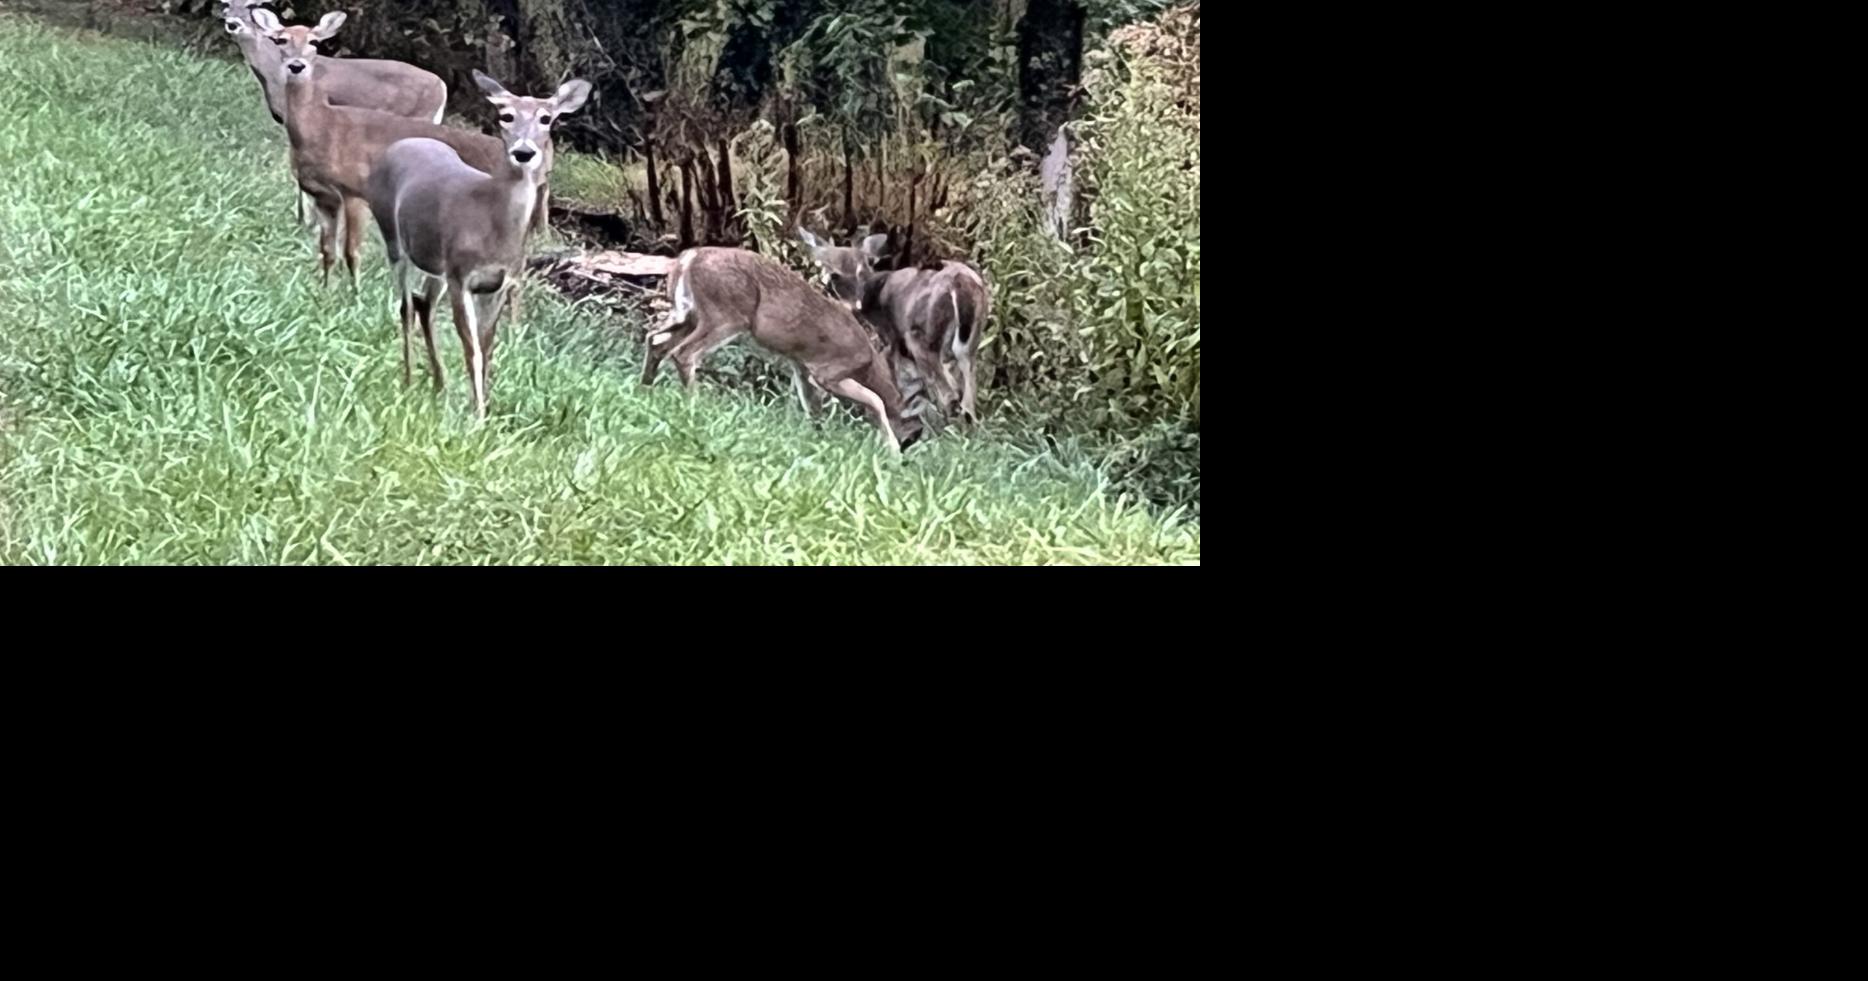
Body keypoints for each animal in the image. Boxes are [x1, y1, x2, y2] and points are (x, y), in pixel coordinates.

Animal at [219, 1, 446, 227]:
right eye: (226, 4)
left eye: (251, 6)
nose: (232, 23)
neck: (273, 75)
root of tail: (442, 86)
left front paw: (304, 220)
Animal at [367, 71, 591, 420]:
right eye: (506, 115)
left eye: (546, 118)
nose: (523, 152)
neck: (492, 226)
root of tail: (400, 145)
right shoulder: (462, 276)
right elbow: (470, 344)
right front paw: (479, 415)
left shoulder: (500, 283)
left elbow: (486, 346)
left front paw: (482, 404)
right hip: (395, 239)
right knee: (405, 307)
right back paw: (408, 379)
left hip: (437, 264)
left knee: (423, 304)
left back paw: (439, 384)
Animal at [641, 248, 925, 455]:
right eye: (914, 434)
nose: (907, 448)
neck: (868, 365)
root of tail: (689, 259)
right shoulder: (829, 372)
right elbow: (875, 400)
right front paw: (892, 451)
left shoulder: (802, 367)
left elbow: (813, 408)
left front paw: (818, 441)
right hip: (724, 314)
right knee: (683, 353)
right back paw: (693, 406)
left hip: (687, 312)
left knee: (655, 339)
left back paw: (647, 390)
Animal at [796, 229, 991, 425]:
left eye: (835, 276)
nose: (855, 305)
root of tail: (961, 283)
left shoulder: (890, 334)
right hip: (970, 339)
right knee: (966, 386)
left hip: (921, 337)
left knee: (948, 392)